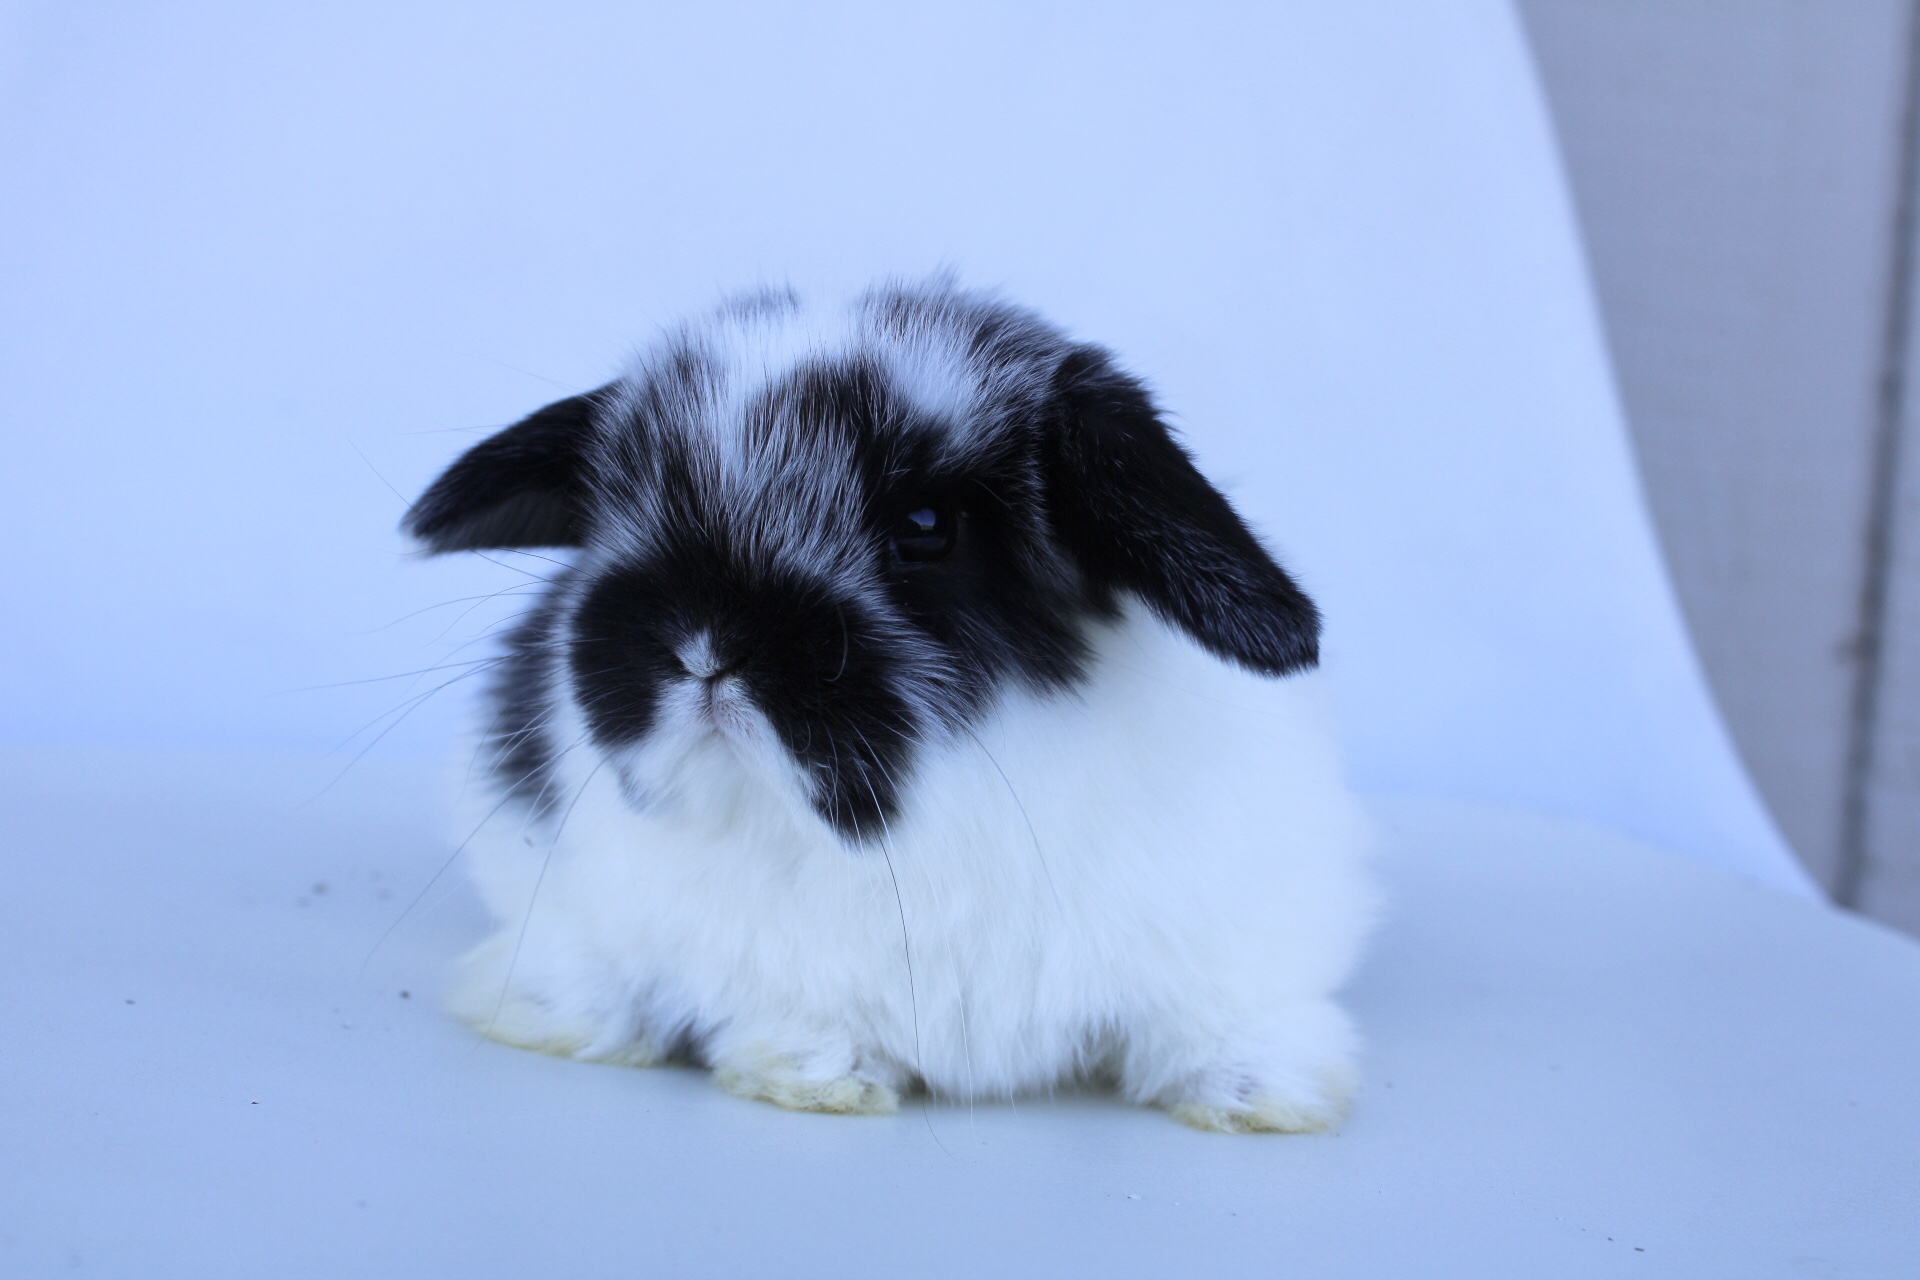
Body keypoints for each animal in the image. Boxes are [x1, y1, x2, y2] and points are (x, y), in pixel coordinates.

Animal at [406, 280, 1375, 1133]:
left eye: (927, 526)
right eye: (619, 508)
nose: (703, 643)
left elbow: (1227, 1019)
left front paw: (1260, 1098)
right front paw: (814, 1075)